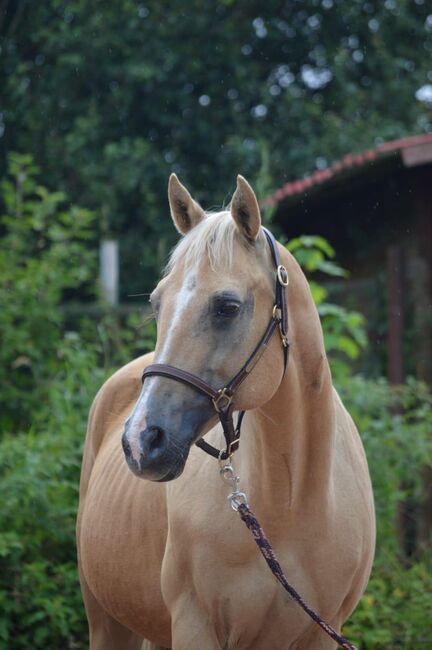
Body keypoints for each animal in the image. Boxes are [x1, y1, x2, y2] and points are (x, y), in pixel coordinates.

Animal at [77, 175, 374, 644]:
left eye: (227, 307)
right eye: (156, 304)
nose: (141, 440)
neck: (293, 504)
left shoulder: (322, 632)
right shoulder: (196, 627)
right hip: (107, 622)